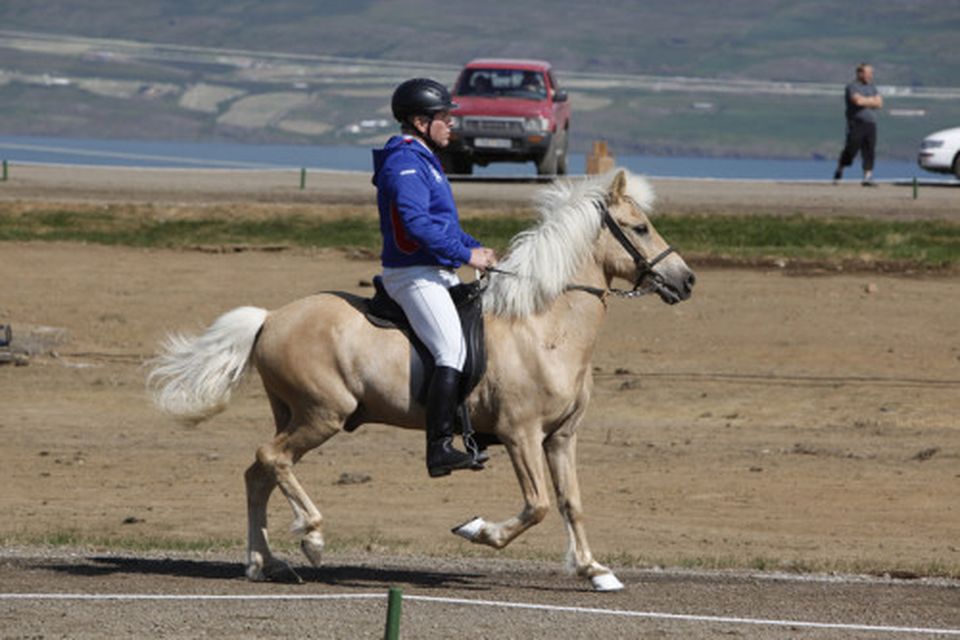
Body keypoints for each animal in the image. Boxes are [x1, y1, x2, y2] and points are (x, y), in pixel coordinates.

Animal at [148, 168, 688, 592]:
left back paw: (265, 563)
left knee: (258, 473)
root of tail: (272, 317)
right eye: (640, 228)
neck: (543, 325)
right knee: (271, 459)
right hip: (323, 415)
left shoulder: (561, 437)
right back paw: (313, 537)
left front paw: (595, 570)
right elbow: (535, 506)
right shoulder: (521, 435)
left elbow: (570, 503)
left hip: (295, 414)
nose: (686, 281)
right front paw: (479, 530)